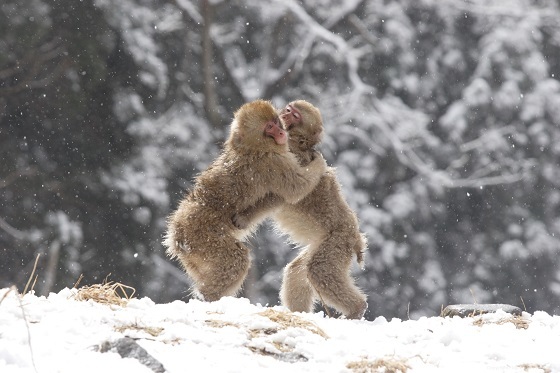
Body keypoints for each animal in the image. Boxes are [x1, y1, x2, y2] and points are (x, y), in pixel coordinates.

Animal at [163, 99, 328, 302]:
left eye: (276, 122)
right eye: (269, 127)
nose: (282, 133)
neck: (253, 147)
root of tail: (176, 233)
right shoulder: (273, 162)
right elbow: (297, 188)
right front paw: (319, 163)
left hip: (192, 252)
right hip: (203, 237)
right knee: (236, 260)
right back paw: (209, 298)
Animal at [232, 99, 368, 320]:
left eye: (295, 115)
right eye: (288, 110)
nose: (284, 116)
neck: (297, 140)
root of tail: (357, 238)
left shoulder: (290, 154)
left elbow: (284, 194)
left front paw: (245, 217)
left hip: (338, 242)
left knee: (318, 270)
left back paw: (357, 308)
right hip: (324, 244)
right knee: (298, 271)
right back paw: (299, 313)